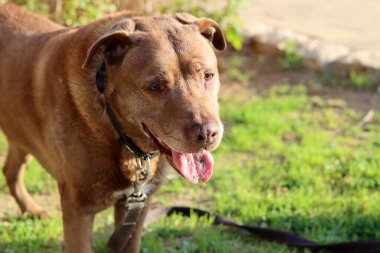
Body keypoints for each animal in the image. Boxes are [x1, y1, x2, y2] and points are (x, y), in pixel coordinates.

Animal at [0, 3, 226, 253]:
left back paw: (30, 209)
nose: (207, 134)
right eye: (155, 86)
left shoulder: (136, 209)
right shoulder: (77, 212)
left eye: (208, 75)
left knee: (10, 170)